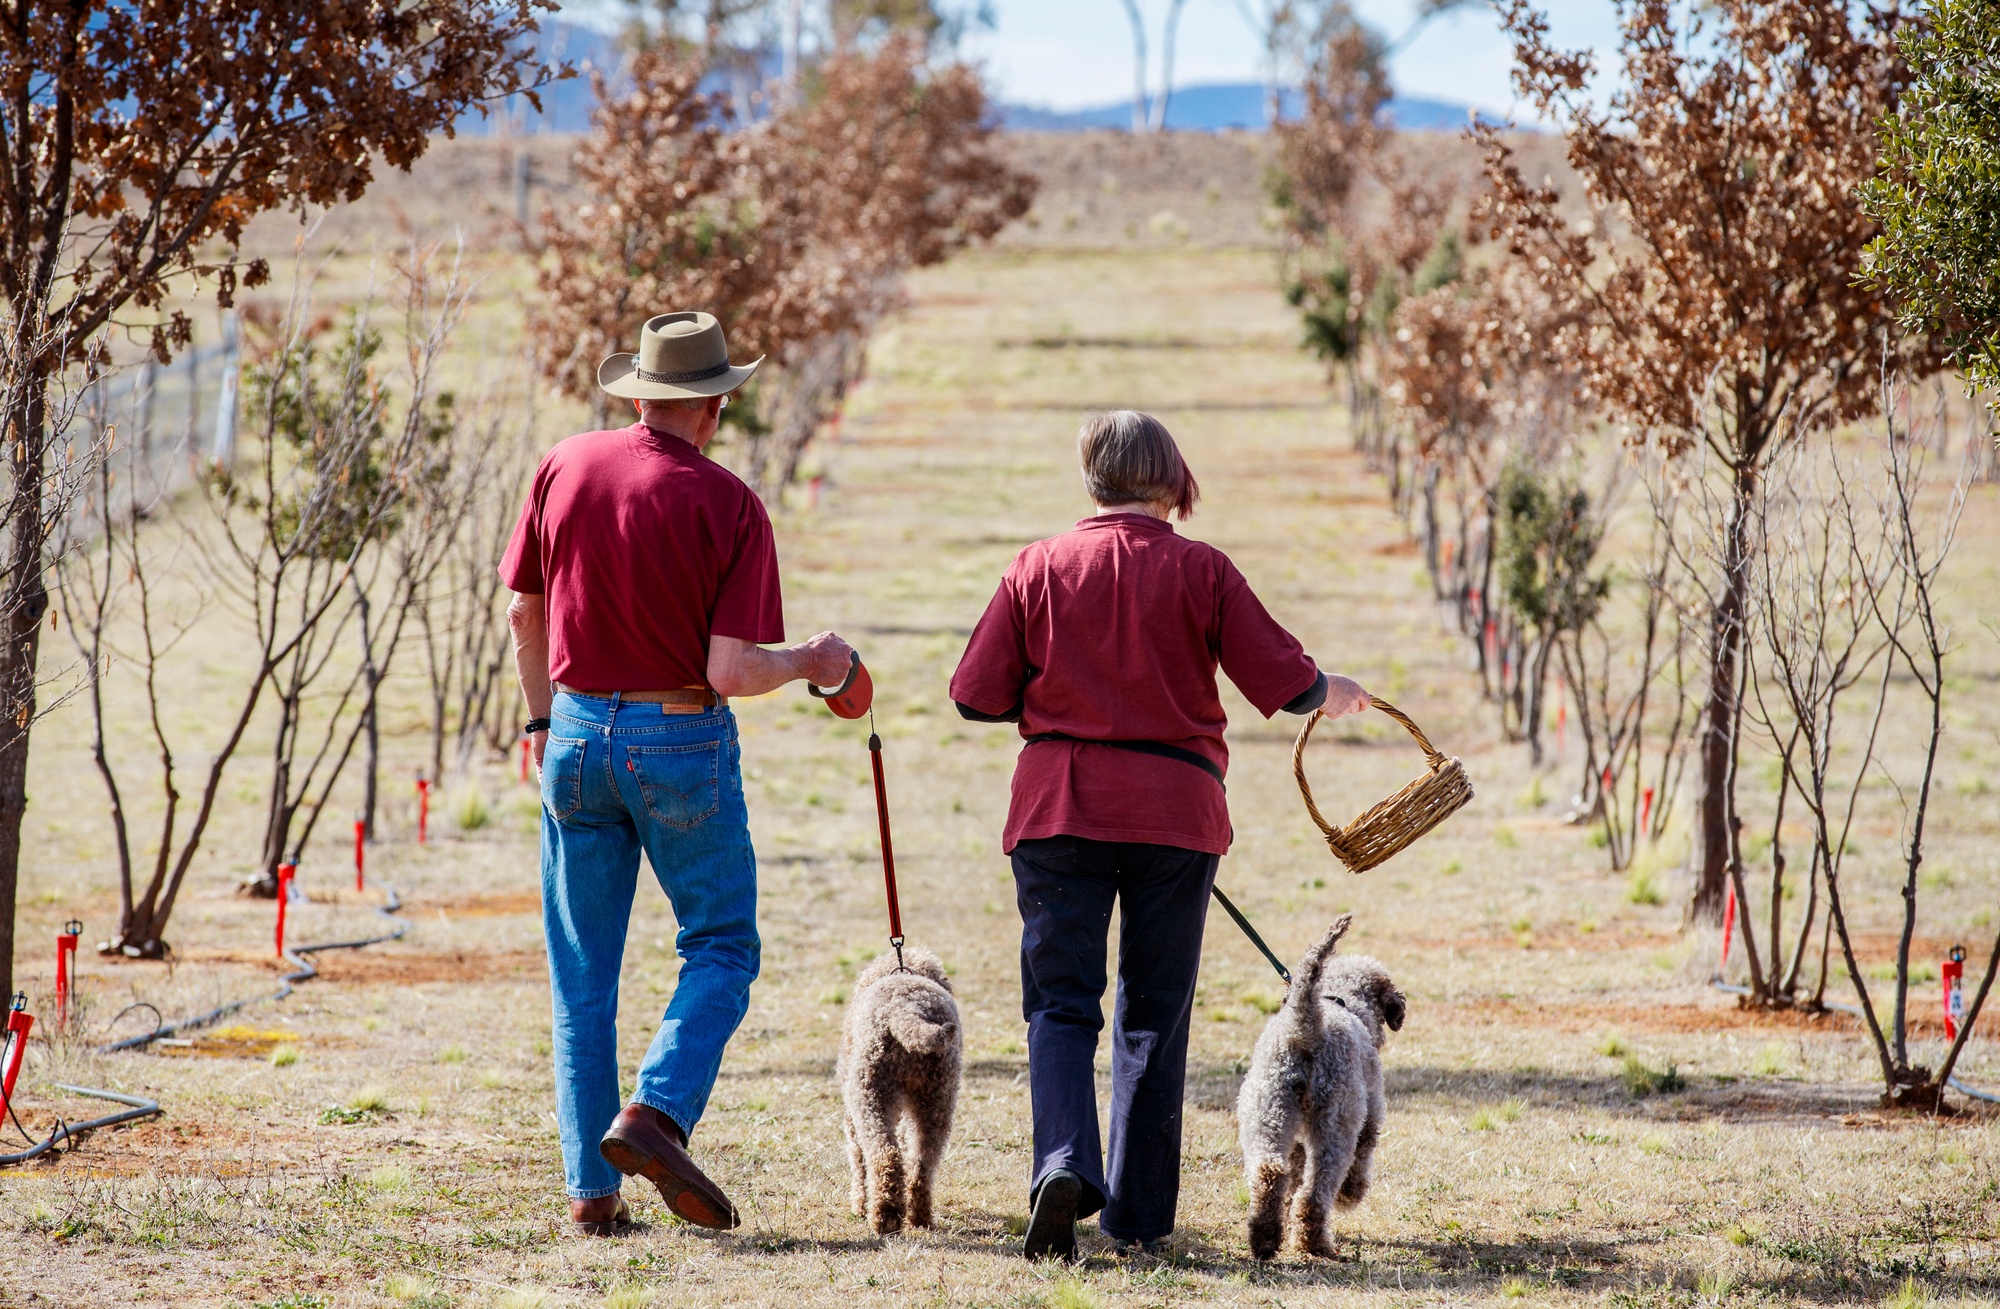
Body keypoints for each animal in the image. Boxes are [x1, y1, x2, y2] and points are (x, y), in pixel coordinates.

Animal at [836, 948, 960, 1232]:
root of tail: (907, 1010)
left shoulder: (852, 1119)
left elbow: (858, 1163)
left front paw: (859, 1206)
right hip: (938, 1100)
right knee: (921, 1164)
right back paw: (919, 1218)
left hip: (870, 1095)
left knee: (885, 1156)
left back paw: (885, 1217)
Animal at [1232, 916, 1408, 1264]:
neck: (1340, 1002)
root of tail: (1305, 1028)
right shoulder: (1369, 1119)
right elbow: (1362, 1159)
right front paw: (1351, 1194)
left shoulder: (1297, 1144)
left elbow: (1293, 1174)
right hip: (1335, 1125)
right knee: (1314, 1192)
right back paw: (1315, 1242)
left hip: (1265, 1114)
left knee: (1271, 1173)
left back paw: (1265, 1237)